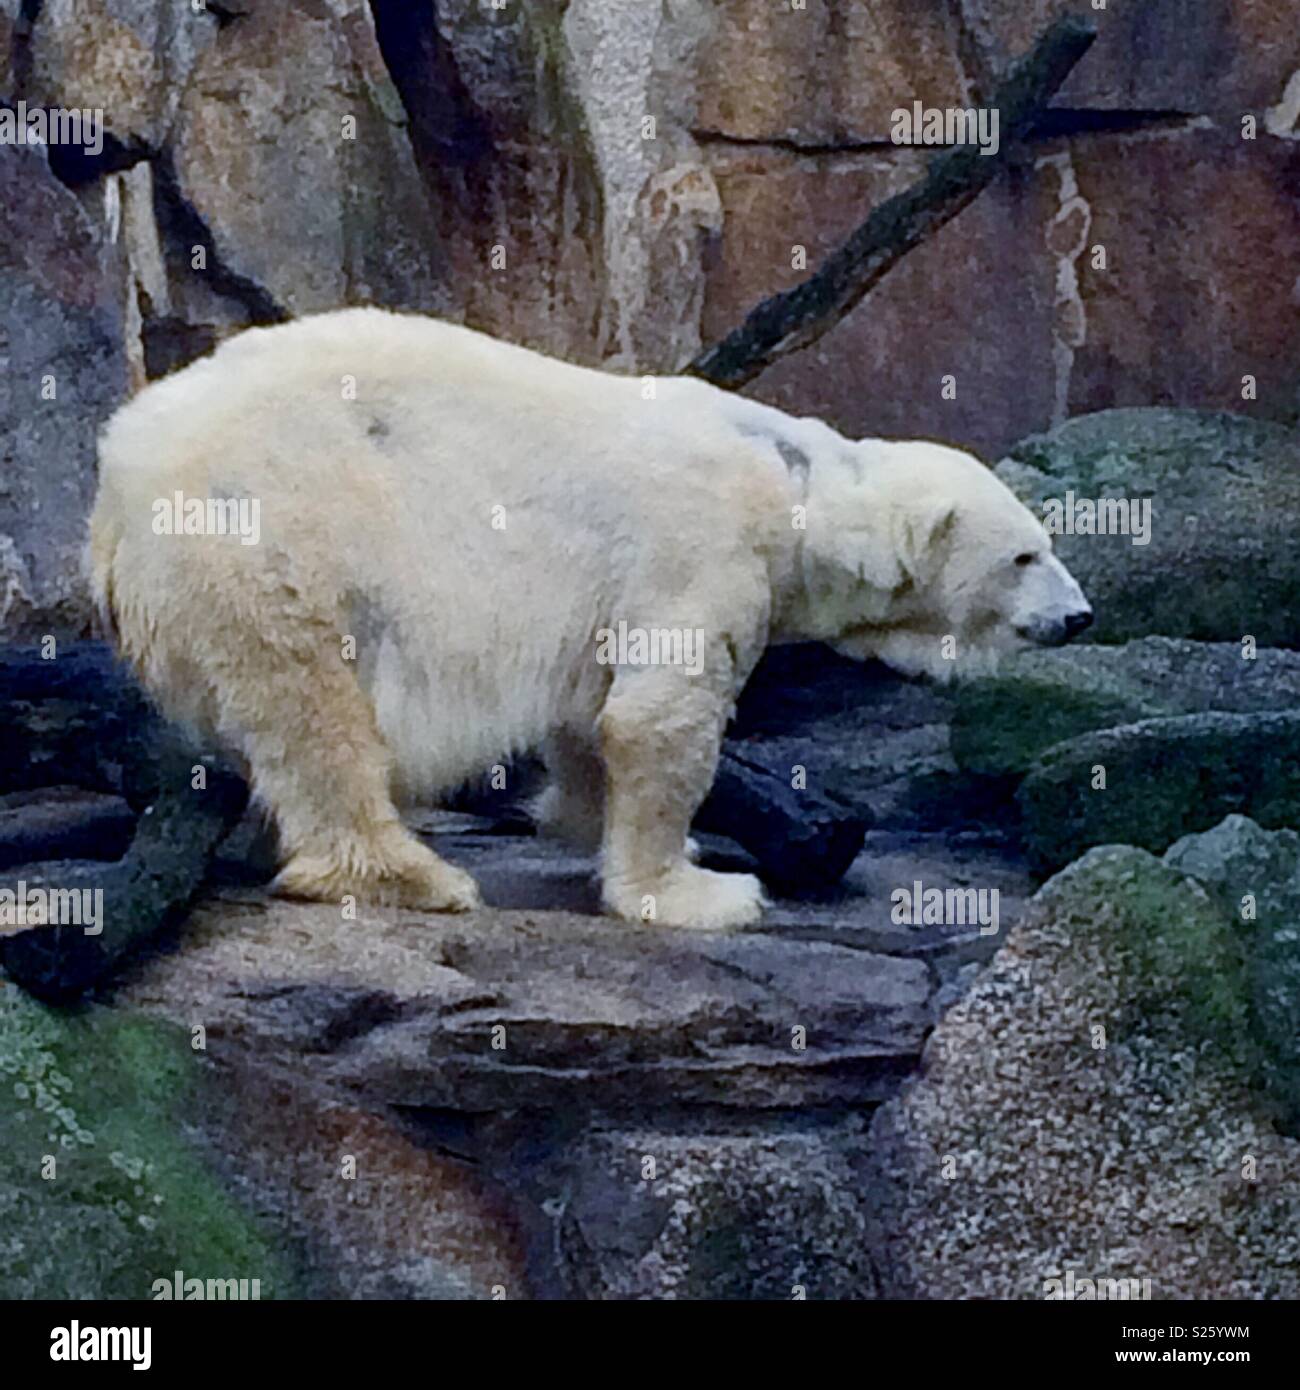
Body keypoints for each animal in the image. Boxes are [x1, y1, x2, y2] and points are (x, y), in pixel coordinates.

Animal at [89, 308, 1091, 930]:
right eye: (1026, 556)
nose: (1079, 617)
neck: (798, 484)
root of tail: (120, 470)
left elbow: (593, 709)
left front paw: (588, 818)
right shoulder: (705, 547)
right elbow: (660, 713)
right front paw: (700, 889)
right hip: (266, 532)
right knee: (311, 706)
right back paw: (412, 872)